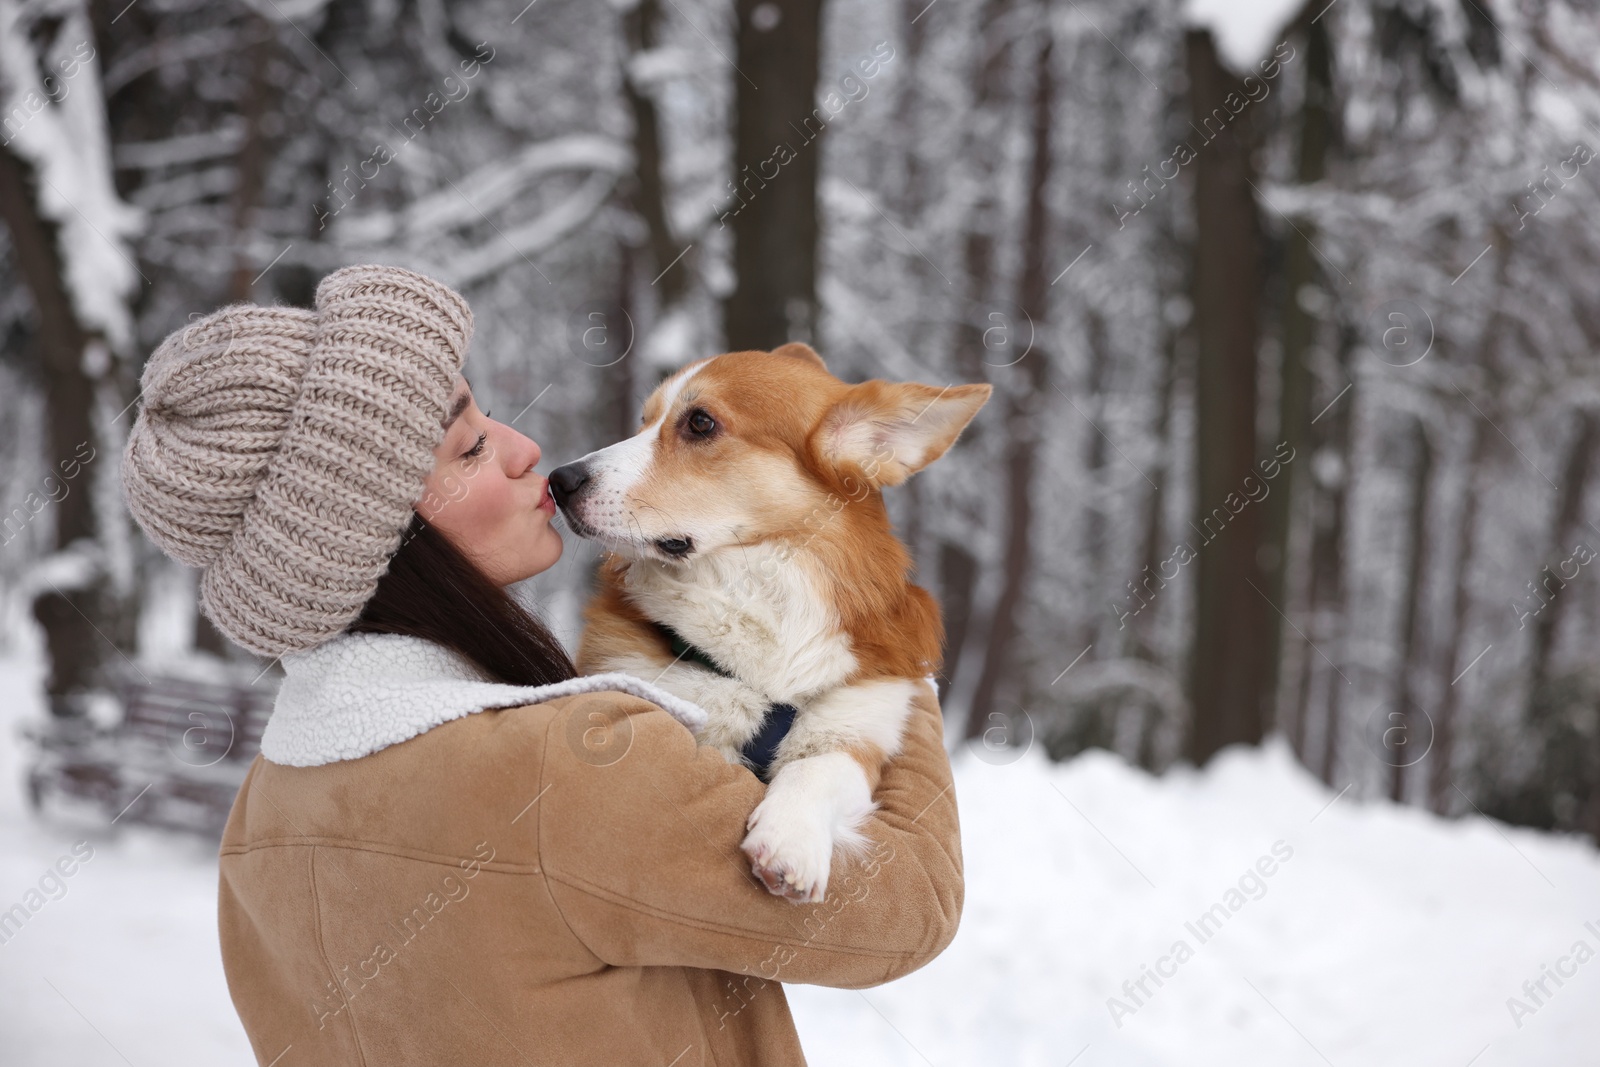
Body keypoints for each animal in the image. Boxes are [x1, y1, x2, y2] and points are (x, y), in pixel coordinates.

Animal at [556, 342, 992, 902]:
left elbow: (817, 769)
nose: (557, 481)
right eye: (644, 421)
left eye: (700, 422)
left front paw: (791, 842)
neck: (761, 585)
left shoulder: (857, 730)